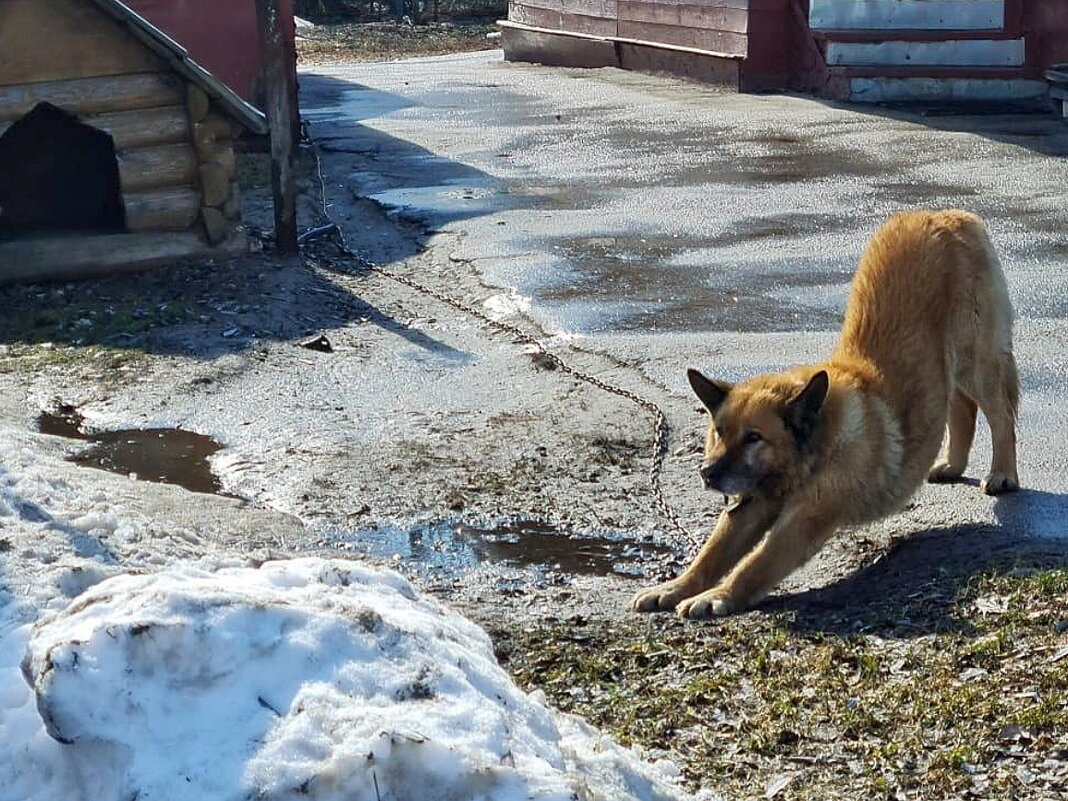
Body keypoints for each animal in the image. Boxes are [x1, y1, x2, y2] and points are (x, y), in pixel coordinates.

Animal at [627, 210, 1021, 619]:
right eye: (719, 431)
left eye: (754, 438)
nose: (707, 473)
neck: (817, 444)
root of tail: (944, 215)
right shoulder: (747, 507)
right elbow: (711, 555)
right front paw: (676, 587)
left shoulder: (806, 519)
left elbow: (755, 564)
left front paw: (718, 595)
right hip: (949, 370)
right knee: (961, 408)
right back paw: (954, 464)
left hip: (976, 361)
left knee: (1000, 415)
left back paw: (1003, 473)